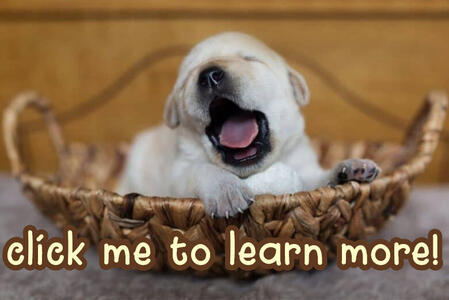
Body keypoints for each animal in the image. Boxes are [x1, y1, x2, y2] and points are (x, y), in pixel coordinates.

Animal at [116, 32, 378, 218]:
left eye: (249, 59)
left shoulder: (302, 167)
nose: (209, 75)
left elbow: (316, 180)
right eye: (189, 75)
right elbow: (203, 169)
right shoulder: (178, 173)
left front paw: (349, 168)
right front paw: (225, 191)